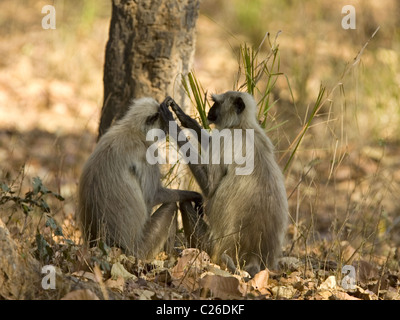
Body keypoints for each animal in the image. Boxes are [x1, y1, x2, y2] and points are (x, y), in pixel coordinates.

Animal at [77, 97, 203, 260]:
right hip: (142, 249)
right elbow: (153, 196)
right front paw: (196, 196)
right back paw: (171, 256)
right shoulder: (147, 151)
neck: (133, 129)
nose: (166, 129)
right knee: (171, 206)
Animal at [161, 91, 290, 276]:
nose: (209, 111)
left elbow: (210, 186)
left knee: (185, 204)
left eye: (217, 103)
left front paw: (170, 121)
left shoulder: (226, 138)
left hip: (211, 246)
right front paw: (183, 116)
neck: (242, 126)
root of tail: (254, 255)